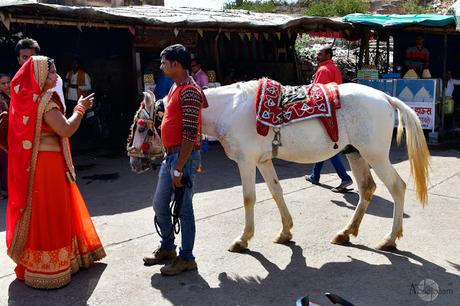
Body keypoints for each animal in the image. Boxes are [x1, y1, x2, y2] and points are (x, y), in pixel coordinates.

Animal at [203, 80, 430, 252]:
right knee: (367, 188)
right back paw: (345, 233)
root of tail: (386, 97)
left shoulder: (246, 161)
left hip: (376, 156)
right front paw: (285, 232)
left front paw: (243, 239)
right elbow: (276, 191)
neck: (230, 109)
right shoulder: (263, 161)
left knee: (397, 187)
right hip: (355, 153)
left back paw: (389, 239)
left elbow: (248, 198)